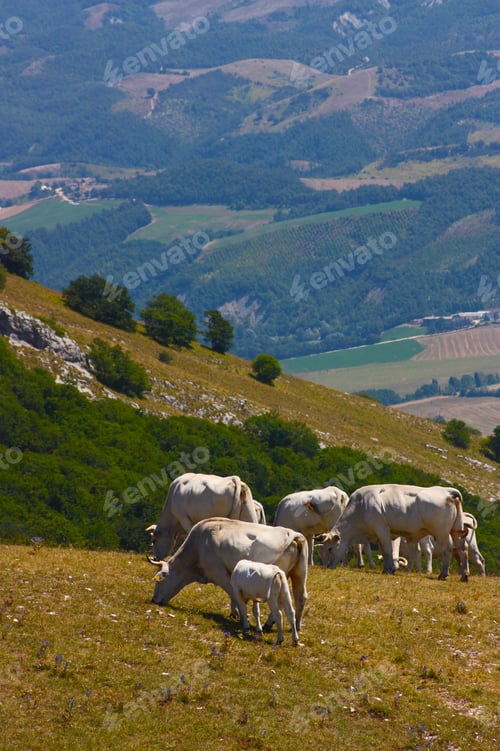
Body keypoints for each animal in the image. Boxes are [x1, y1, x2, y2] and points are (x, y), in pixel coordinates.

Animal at [148, 517, 308, 634]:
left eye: (159, 580)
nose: (154, 599)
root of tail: (293, 534)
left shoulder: (218, 572)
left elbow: (232, 593)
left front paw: (241, 616)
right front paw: (235, 613)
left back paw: (270, 624)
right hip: (299, 573)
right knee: (300, 597)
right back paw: (296, 625)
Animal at [316, 484, 469, 581]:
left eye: (330, 549)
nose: (327, 566)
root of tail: (447, 491)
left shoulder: (382, 529)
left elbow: (388, 550)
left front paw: (390, 569)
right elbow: (384, 551)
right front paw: (387, 568)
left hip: (441, 532)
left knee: (447, 549)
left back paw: (443, 574)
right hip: (457, 530)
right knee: (463, 549)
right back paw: (464, 576)